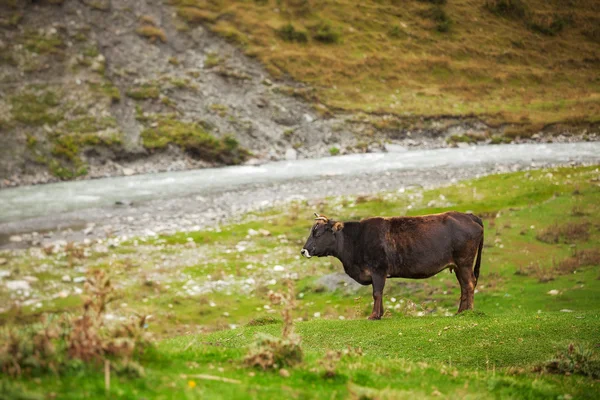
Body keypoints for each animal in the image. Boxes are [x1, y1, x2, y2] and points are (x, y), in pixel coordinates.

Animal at [300, 212, 482, 318]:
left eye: (317, 233)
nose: (303, 250)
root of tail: (468, 215)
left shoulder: (378, 270)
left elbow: (376, 293)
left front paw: (374, 315)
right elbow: (380, 293)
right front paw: (380, 314)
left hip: (464, 262)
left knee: (469, 284)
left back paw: (469, 311)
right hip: (458, 265)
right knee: (464, 285)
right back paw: (460, 311)